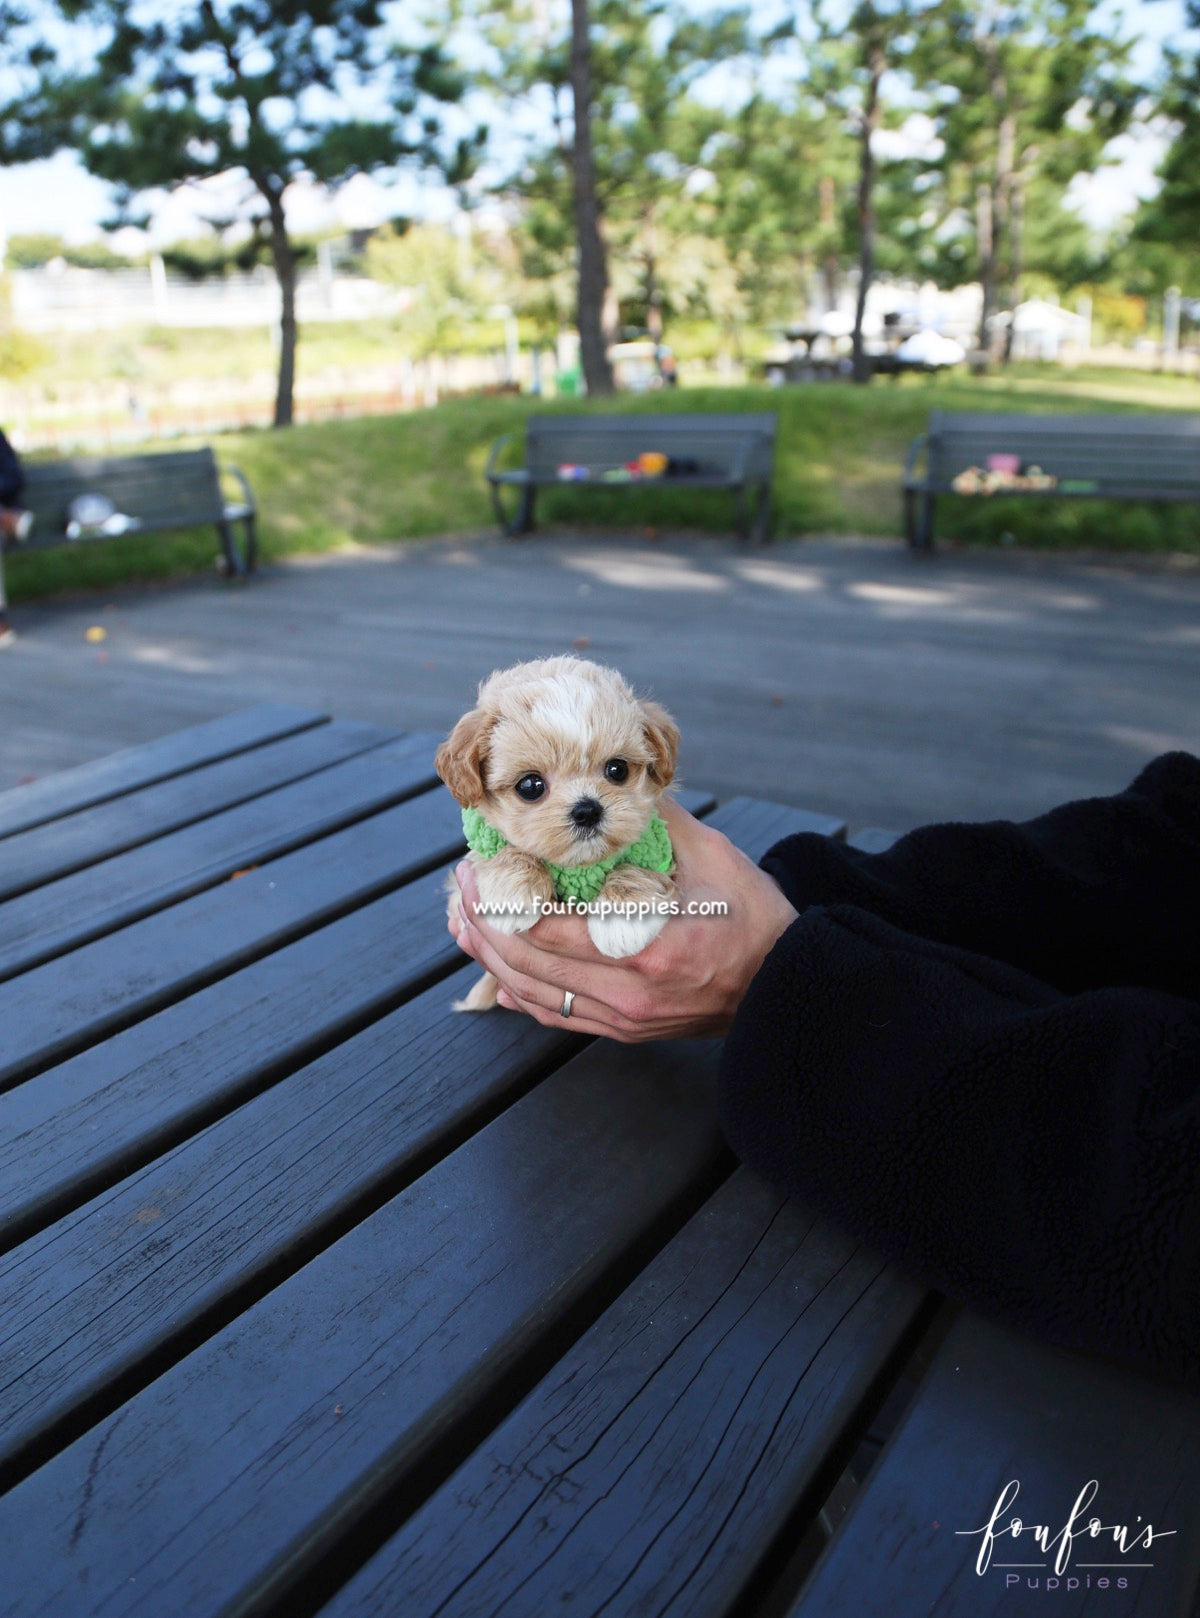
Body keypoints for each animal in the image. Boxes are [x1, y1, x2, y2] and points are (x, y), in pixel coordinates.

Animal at [439, 656, 685, 1009]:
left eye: (618, 769)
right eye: (530, 786)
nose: (587, 810)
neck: (577, 867)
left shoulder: (656, 843)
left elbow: (638, 866)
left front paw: (622, 918)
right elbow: (504, 852)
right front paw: (513, 891)